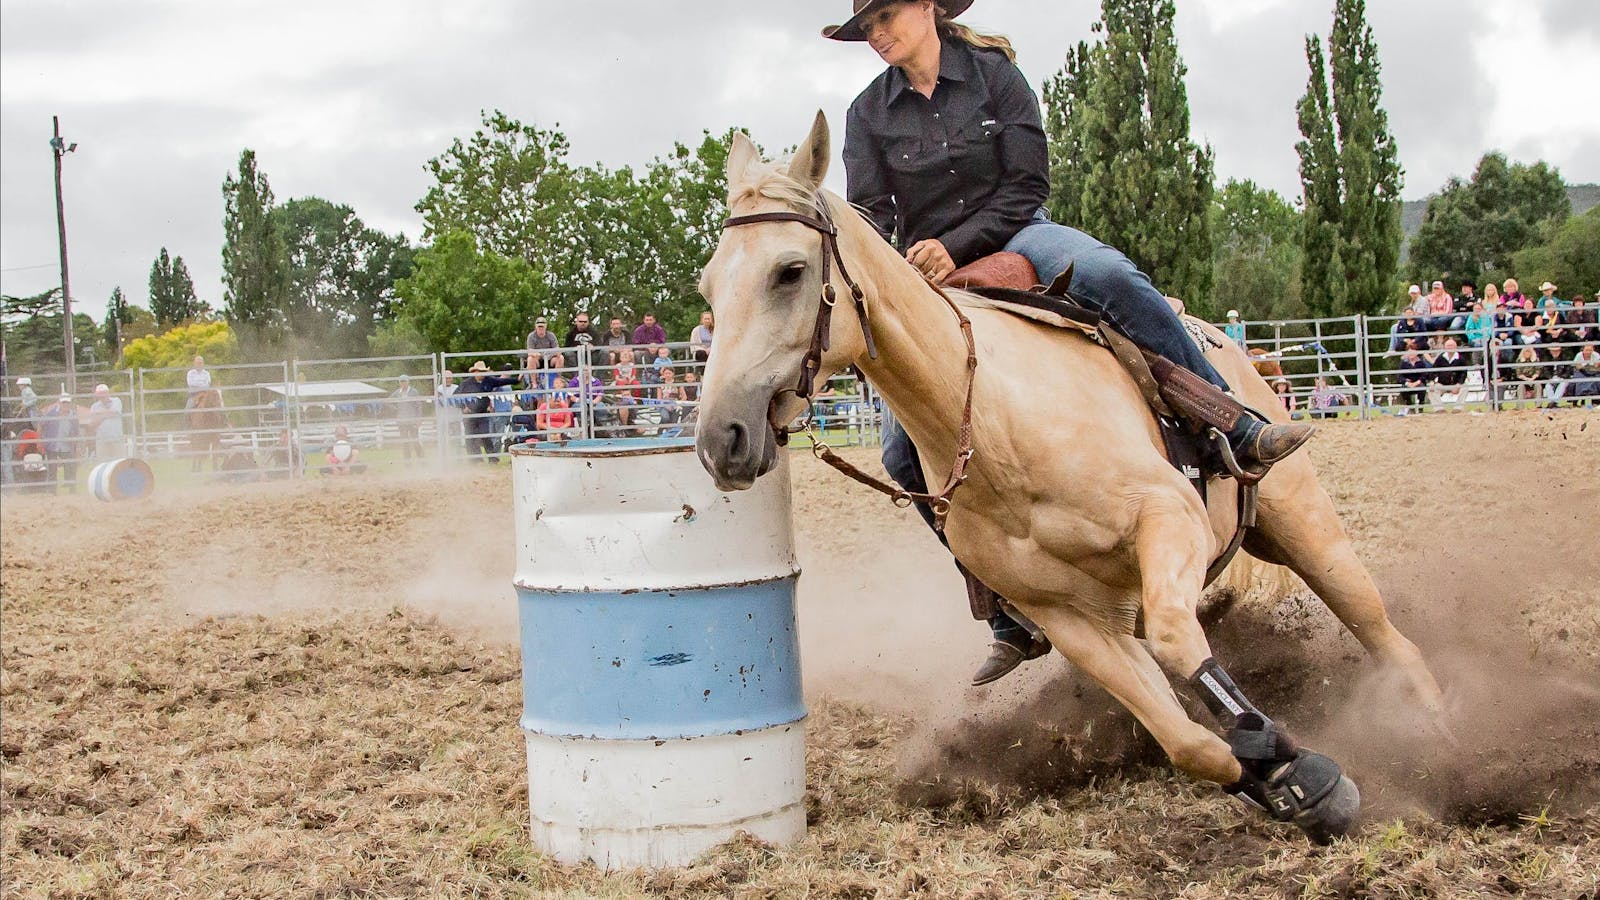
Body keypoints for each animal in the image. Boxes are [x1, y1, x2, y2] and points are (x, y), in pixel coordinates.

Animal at [694, 112, 1446, 839]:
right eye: (708, 285)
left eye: (790, 270)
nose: (719, 439)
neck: (998, 422)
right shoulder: (1073, 620)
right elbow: (1187, 742)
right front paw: (1291, 781)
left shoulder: (1168, 518)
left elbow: (1178, 640)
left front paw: (1292, 762)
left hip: (1304, 523)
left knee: (1383, 632)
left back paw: (1436, 723)